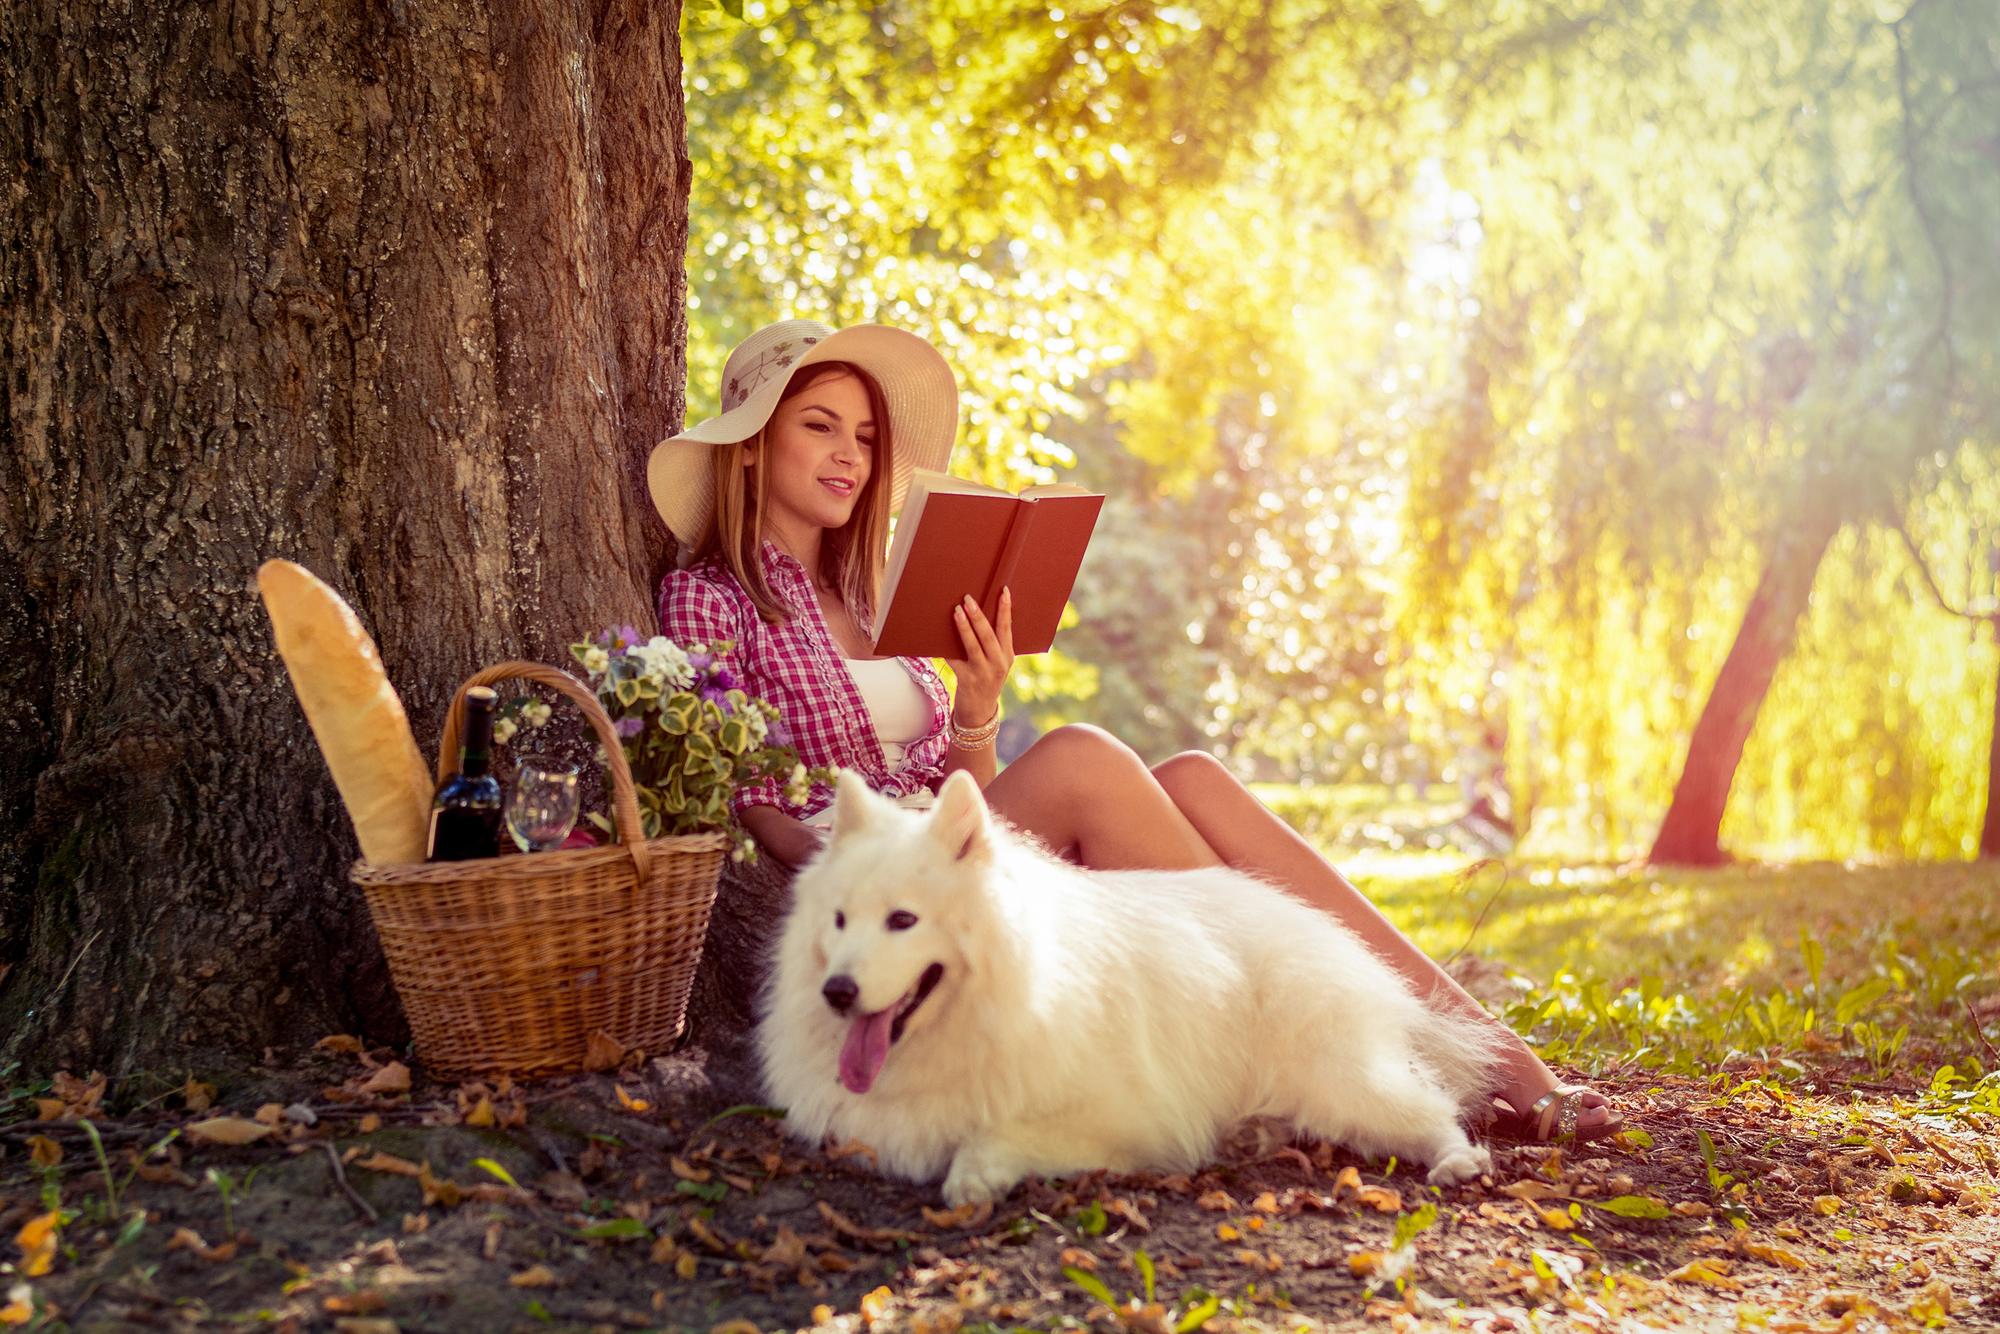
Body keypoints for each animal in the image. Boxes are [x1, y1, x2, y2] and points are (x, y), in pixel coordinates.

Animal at [760, 768, 1504, 1208]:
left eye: (903, 920)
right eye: (839, 920)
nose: (837, 992)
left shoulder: (1127, 1119)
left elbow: (999, 1138)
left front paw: (973, 1177)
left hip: (1341, 1078)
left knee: (1431, 1111)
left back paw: (1456, 1161)